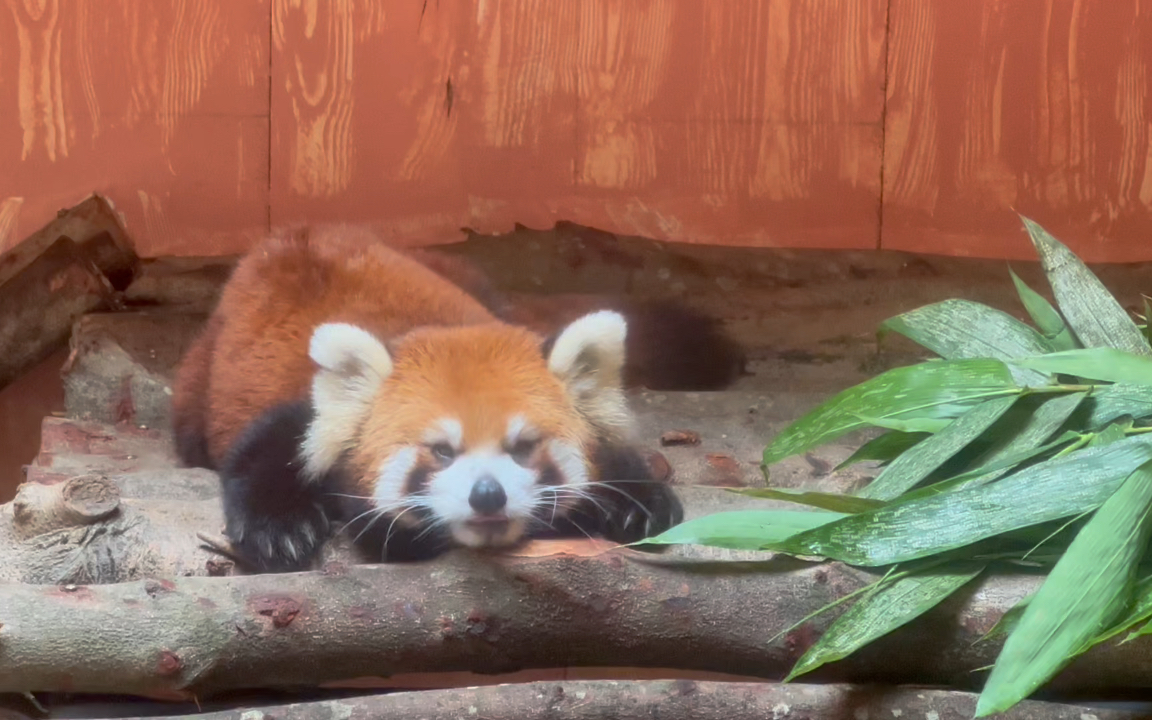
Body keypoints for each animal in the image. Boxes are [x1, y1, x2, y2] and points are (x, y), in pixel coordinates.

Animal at [175, 224, 741, 573]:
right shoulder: (303, 415)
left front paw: (636, 504)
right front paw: (282, 529)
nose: (487, 495)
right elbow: (261, 454)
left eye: (523, 447)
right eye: (441, 452)